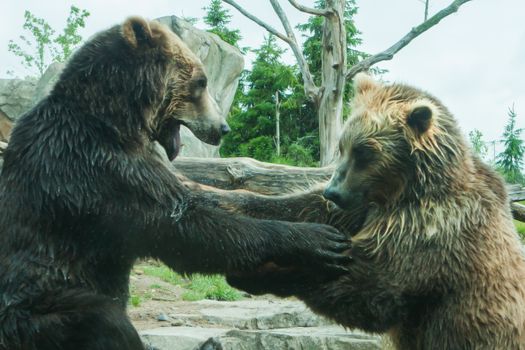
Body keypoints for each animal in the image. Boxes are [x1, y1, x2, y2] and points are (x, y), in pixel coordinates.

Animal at [1, 17, 352, 350]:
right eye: (201, 82)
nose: (222, 127)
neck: (117, 121)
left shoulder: (143, 163)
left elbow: (205, 197)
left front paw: (314, 203)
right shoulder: (100, 170)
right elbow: (185, 227)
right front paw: (316, 239)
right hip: (38, 303)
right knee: (103, 321)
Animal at [195, 73, 524, 348]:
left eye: (365, 152)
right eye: (343, 146)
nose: (333, 192)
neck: (405, 191)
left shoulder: (434, 229)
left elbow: (371, 286)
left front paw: (258, 271)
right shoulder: (363, 207)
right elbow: (301, 208)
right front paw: (211, 195)